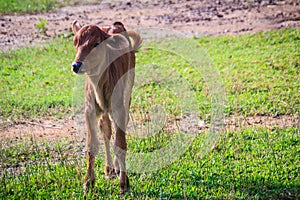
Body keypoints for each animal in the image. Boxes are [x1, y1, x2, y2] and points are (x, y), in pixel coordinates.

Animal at [70, 20, 142, 194]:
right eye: (76, 42)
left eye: (96, 44)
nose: (76, 65)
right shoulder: (89, 110)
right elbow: (92, 145)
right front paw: (88, 182)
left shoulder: (119, 108)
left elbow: (121, 144)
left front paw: (124, 183)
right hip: (103, 111)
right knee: (106, 129)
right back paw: (109, 169)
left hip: (127, 94)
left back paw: (116, 168)